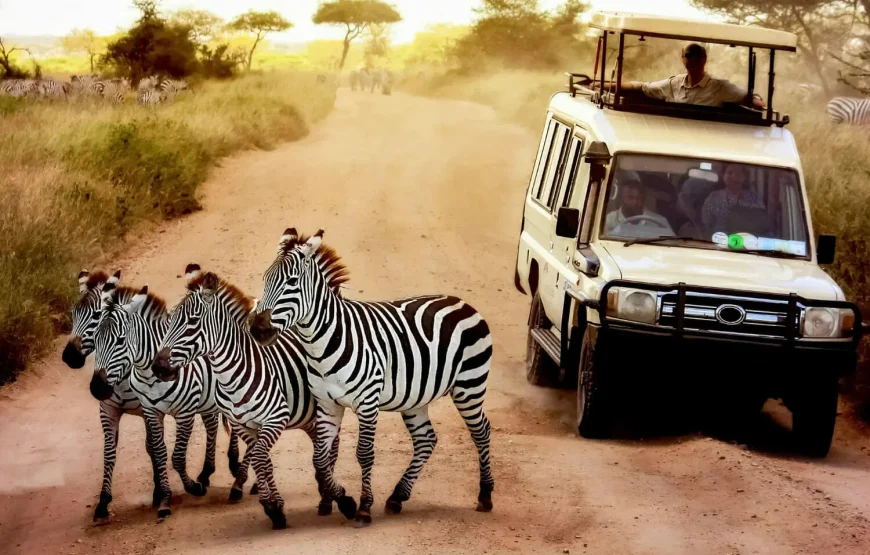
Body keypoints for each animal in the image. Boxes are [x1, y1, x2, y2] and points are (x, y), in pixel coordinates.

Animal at [152, 264, 352, 528]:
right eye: (170, 320)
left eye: (192, 322)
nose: (158, 367)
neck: (232, 376)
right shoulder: (243, 425)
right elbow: (263, 461)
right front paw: (275, 506)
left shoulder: (275, 419)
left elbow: (258, 458)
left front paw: (272, 506)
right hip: (307, 416)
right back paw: (325, 492)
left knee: (332, 446)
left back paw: (330, 499)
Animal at [250, 229, 498, 524]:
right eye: (265, 279)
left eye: (292, 282)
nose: (258, 329)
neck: (325, 341)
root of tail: (462, 303)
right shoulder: (327, 404)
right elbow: (320, 459)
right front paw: (344, 500)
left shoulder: (367, 401)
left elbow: (364, 454)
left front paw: (363, 507)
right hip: (417, 398)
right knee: (426, 439)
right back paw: (397, 496)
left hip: (469, 385)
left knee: (481, 431)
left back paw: (485, 495)